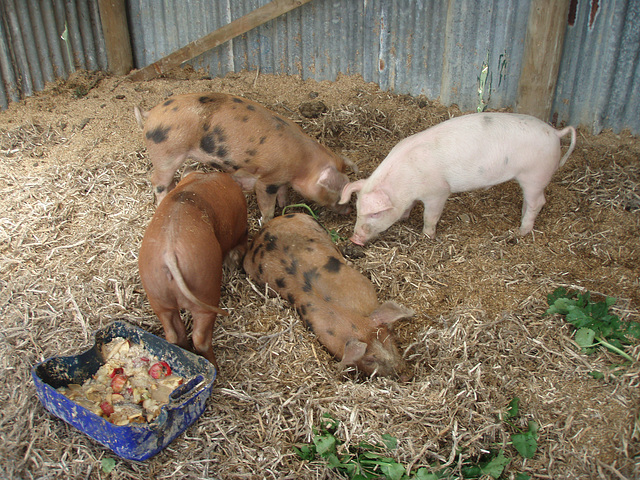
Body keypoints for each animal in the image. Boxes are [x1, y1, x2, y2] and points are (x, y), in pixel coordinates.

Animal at [135, 92, 356, 221]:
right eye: (338, 192)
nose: (349, 211)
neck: (303, 163)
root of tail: (150, 114)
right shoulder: (267, 180)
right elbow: (266, 205)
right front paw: (268, 219)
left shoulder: (281, 179)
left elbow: (283, 192)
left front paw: (284, 205)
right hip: (166, 153)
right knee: (156, 180)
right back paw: (161, 200)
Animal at [139, 171, 249, 370]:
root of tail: (169, 254)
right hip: (205, 290)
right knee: (200, 338)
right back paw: (214, 367)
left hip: (157, 296)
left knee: (174, 334)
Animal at [340, 112, 580, 244]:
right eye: (358, 210)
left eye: (375, 214)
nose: (354, 238)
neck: (405, 181)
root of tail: (555, 133)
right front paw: (405, 218)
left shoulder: (438, 191)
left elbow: (430, 217)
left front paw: (427, 237)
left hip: (534, 175)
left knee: (538, 202)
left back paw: (520, 232)